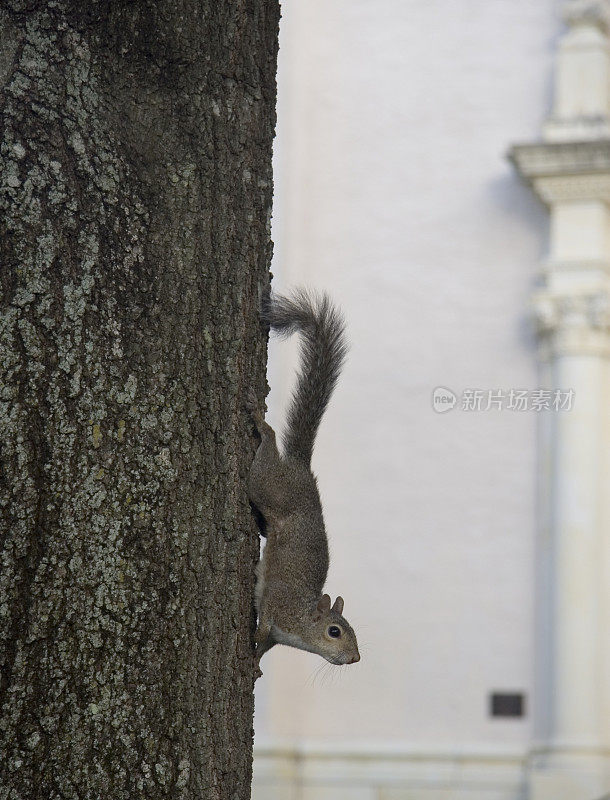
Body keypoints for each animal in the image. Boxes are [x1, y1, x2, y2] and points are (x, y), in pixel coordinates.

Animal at [246, 288, 360, 676]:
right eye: (334, 631)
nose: (355, 658)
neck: (300, 619)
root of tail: (300, 467)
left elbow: (266, 646)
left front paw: (257, 664)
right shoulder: (275, 607)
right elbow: (263, 623)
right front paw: (251, 646)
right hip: (268, 485)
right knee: (266, 449)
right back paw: (261, 423)